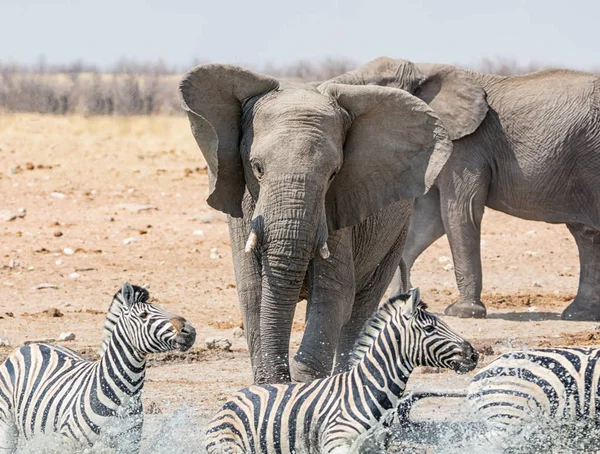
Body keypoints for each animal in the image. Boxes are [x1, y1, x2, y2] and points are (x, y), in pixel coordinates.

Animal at [0, 282, 197, 452]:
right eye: (143, 316)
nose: (191, 331)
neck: (125, 394)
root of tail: (33, 345)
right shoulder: (70, 444)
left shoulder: (128, 445)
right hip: (6, 425)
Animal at [180, 63, 452, 384]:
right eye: (257, 168)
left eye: (334, 173)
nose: (283, 375)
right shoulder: (245, 207)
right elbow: (252, 292)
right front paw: (269, 386)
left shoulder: (339, 208)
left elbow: (333, 294)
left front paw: (303, 383)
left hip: (396, 231)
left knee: (362, 306)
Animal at [206, 290, 478, 452]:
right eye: (430, 329)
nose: (474, 355)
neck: (369, 392)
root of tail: (234, 397)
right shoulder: (337, 442)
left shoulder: (376, 446)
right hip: (229, 445)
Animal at [330, 56, 600, 320]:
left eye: (374, 86)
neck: (423, 69)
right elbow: (429, 221)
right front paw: (397, 302)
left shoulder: (467, 145)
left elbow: (460, 211)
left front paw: (463, 313)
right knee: (586, 236)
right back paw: (578, 315)